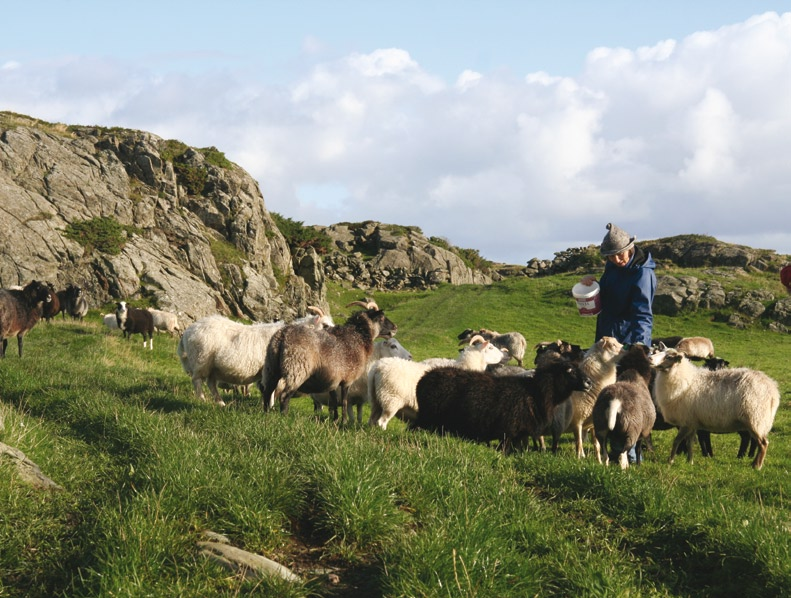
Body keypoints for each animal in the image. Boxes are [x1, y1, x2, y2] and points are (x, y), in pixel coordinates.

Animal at [264, 302, 400, 424]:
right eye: (381, 317)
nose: (395, 328)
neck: (358, 338)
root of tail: (283, 335)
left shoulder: (333, 381)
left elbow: (334, 401)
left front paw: (334, 420)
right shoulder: (347, 380)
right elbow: (344, 401)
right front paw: (343, 422)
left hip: (271, 368)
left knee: (268, 391)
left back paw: (266, 413)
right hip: (296, 370)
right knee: (284, 396)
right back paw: (284, 417)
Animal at [648, 350, 780, 472]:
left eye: (669, 357)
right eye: (658, 352)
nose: (650, 358)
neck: (684, 379)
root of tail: (773, 390)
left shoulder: (686, 421)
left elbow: (677, 441)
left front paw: (670, 461)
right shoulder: (692, 422)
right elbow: (689, 443)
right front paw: (690, 461)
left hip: (755, 418)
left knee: (763, 443)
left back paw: (757, 466)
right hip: (755, 420)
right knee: (757, 442)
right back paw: (753, 462)